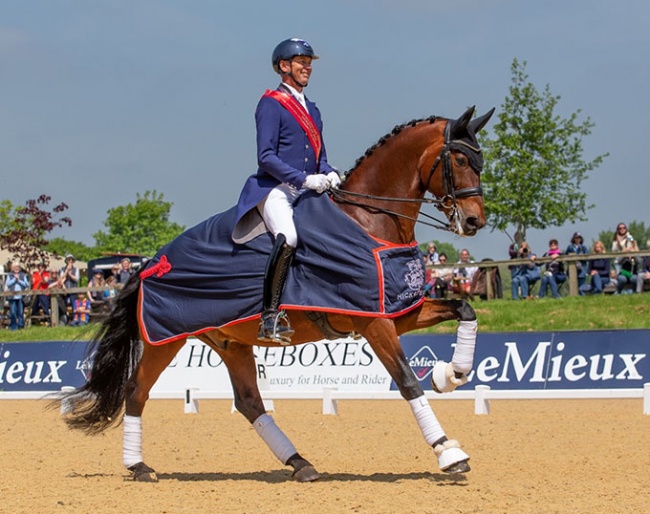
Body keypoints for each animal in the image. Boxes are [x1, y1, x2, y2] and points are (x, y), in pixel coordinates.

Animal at [63, 104, 494, 480]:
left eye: (480, 160)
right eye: (459, 160)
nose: (474, 221)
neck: (369, 220)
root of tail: (150, 262)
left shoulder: (392, 312)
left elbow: (464, 308)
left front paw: (450, 374)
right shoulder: (374, 323)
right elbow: (406, 380)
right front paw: (448, 452)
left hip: (229, 341)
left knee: (250, 402)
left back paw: (301, 464)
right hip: (164, 339)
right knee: (136, 392)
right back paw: (139, 467)